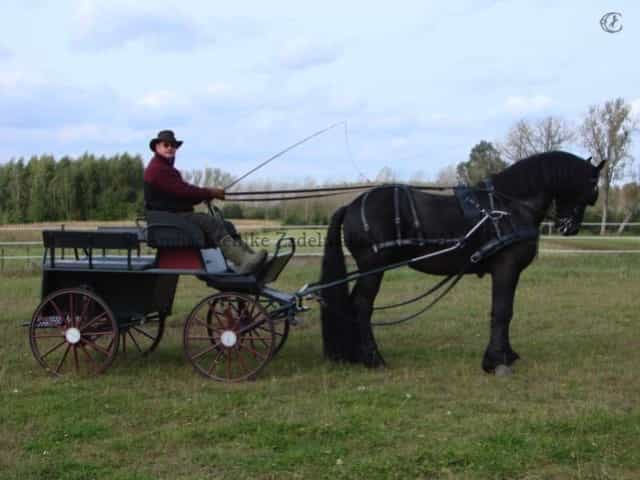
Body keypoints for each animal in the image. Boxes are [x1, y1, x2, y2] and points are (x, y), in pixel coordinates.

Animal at [320, 152, 604, 374]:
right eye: (593, 188)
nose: (569, 227)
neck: (510, 206)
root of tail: (351, 205)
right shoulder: (506, 267)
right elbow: (502, 311)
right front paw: (496, 361)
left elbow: (505, 311)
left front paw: (505, 355)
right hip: (372, 268)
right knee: (361, 306)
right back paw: (373, 359)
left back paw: (358, 355)